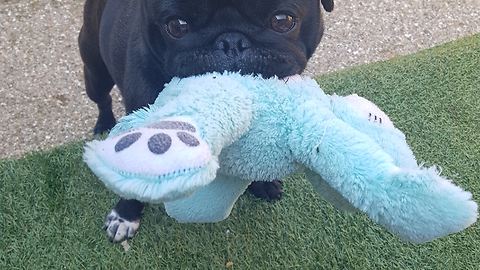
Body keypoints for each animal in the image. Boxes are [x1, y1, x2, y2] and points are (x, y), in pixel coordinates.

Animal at [79, 0, 334, 242]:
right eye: (177, 26)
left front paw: (262, 183)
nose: (231, 42)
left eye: (282, 21)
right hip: (95, 73)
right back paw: (104, 125)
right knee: (103, 99)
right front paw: (125, 216)